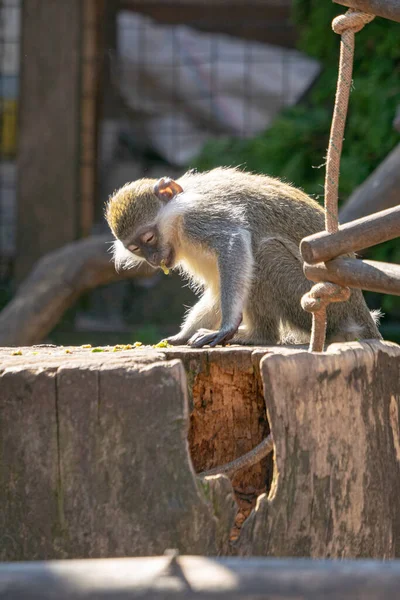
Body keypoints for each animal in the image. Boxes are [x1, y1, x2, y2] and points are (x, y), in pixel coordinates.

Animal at [105, 166, 382, 350]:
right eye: (136, 248)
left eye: (149, 238)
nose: (153, 259)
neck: (177, 222)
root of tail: (362, 318)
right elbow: (220, 288)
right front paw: (184, 335)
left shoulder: (200, 218)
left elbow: (234, 244)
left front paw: (227, 327)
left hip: (327, 308)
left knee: (264, 254)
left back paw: (259, 335)